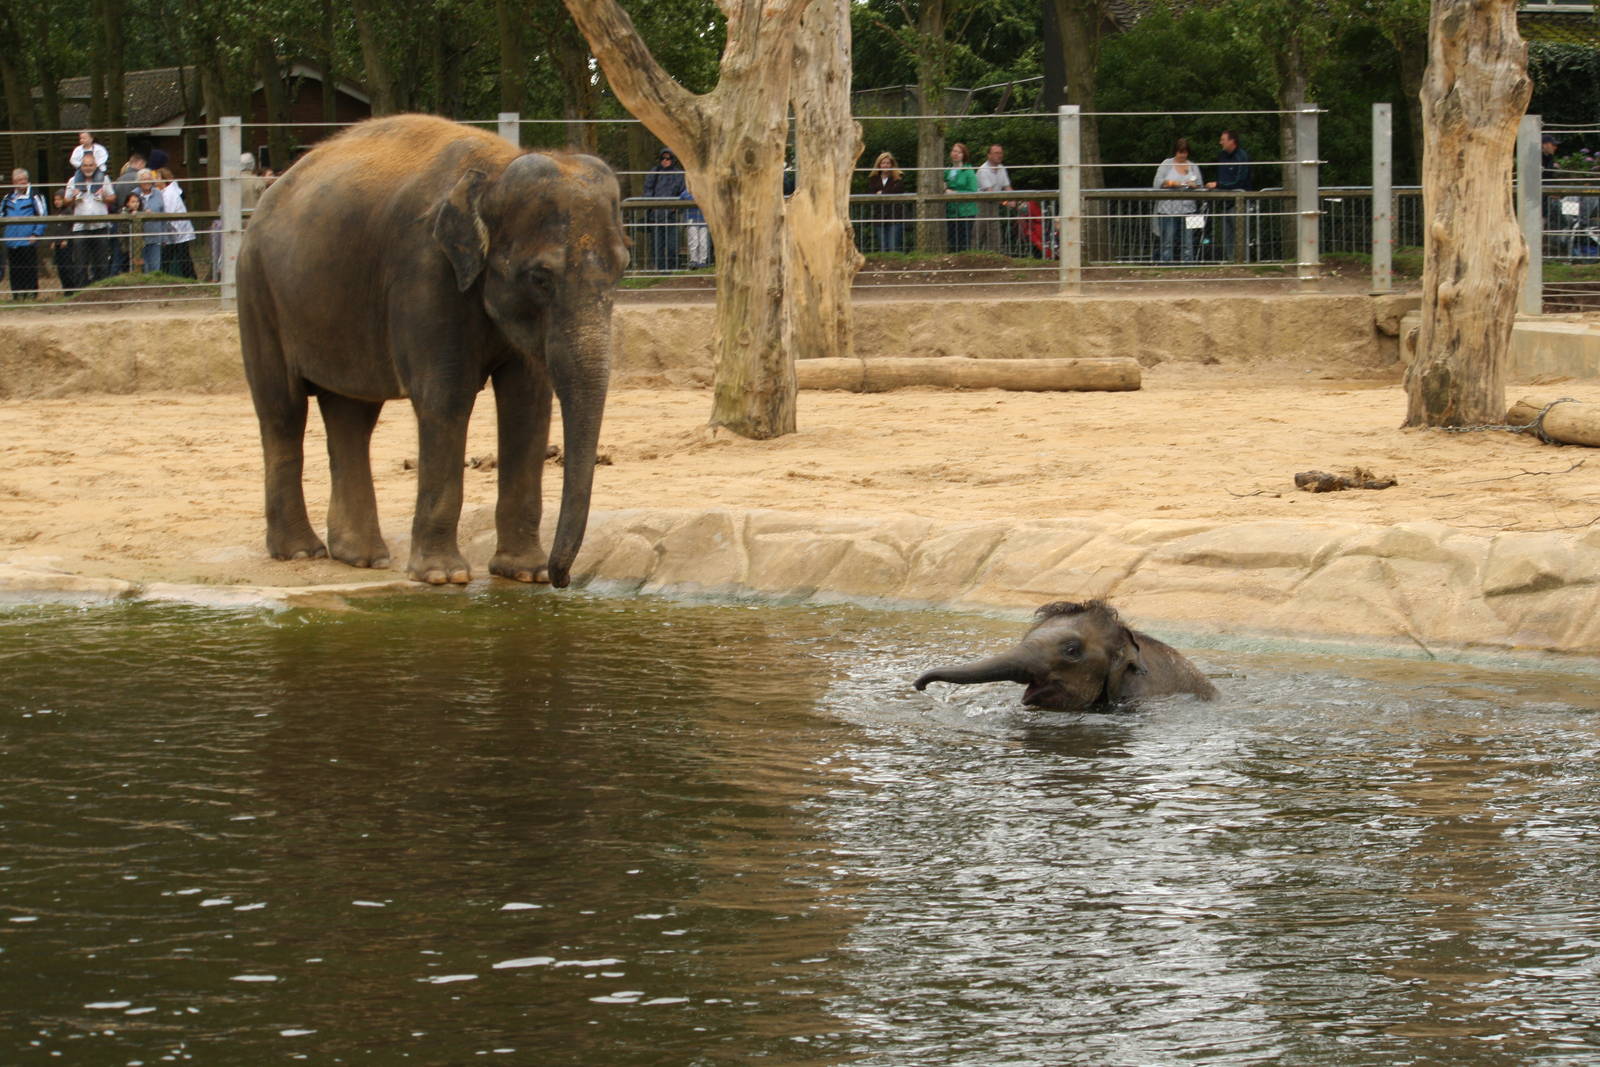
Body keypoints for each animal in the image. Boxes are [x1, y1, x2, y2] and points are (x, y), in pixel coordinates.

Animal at [236, 114, 628, 587]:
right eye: (540, 278)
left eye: (623, 270)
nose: (562, 579)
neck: (494, 169)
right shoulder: (424, 269)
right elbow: (446, 398)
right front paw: (444, 577)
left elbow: (527, 403)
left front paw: (524, 572)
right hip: (257, 291)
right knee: (283, 411)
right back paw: (299, 552)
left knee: (352, 415)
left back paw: (360, 557)